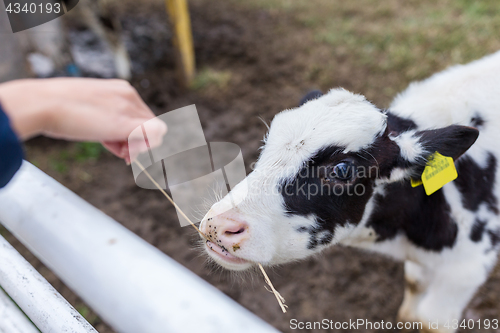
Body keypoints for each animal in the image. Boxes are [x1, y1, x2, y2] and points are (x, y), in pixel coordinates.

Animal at [199, 50, 500, 332]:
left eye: (343, 169)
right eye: (266, 141)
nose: (220, 223)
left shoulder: (466, 270)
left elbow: (429, 320)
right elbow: (411, 297)